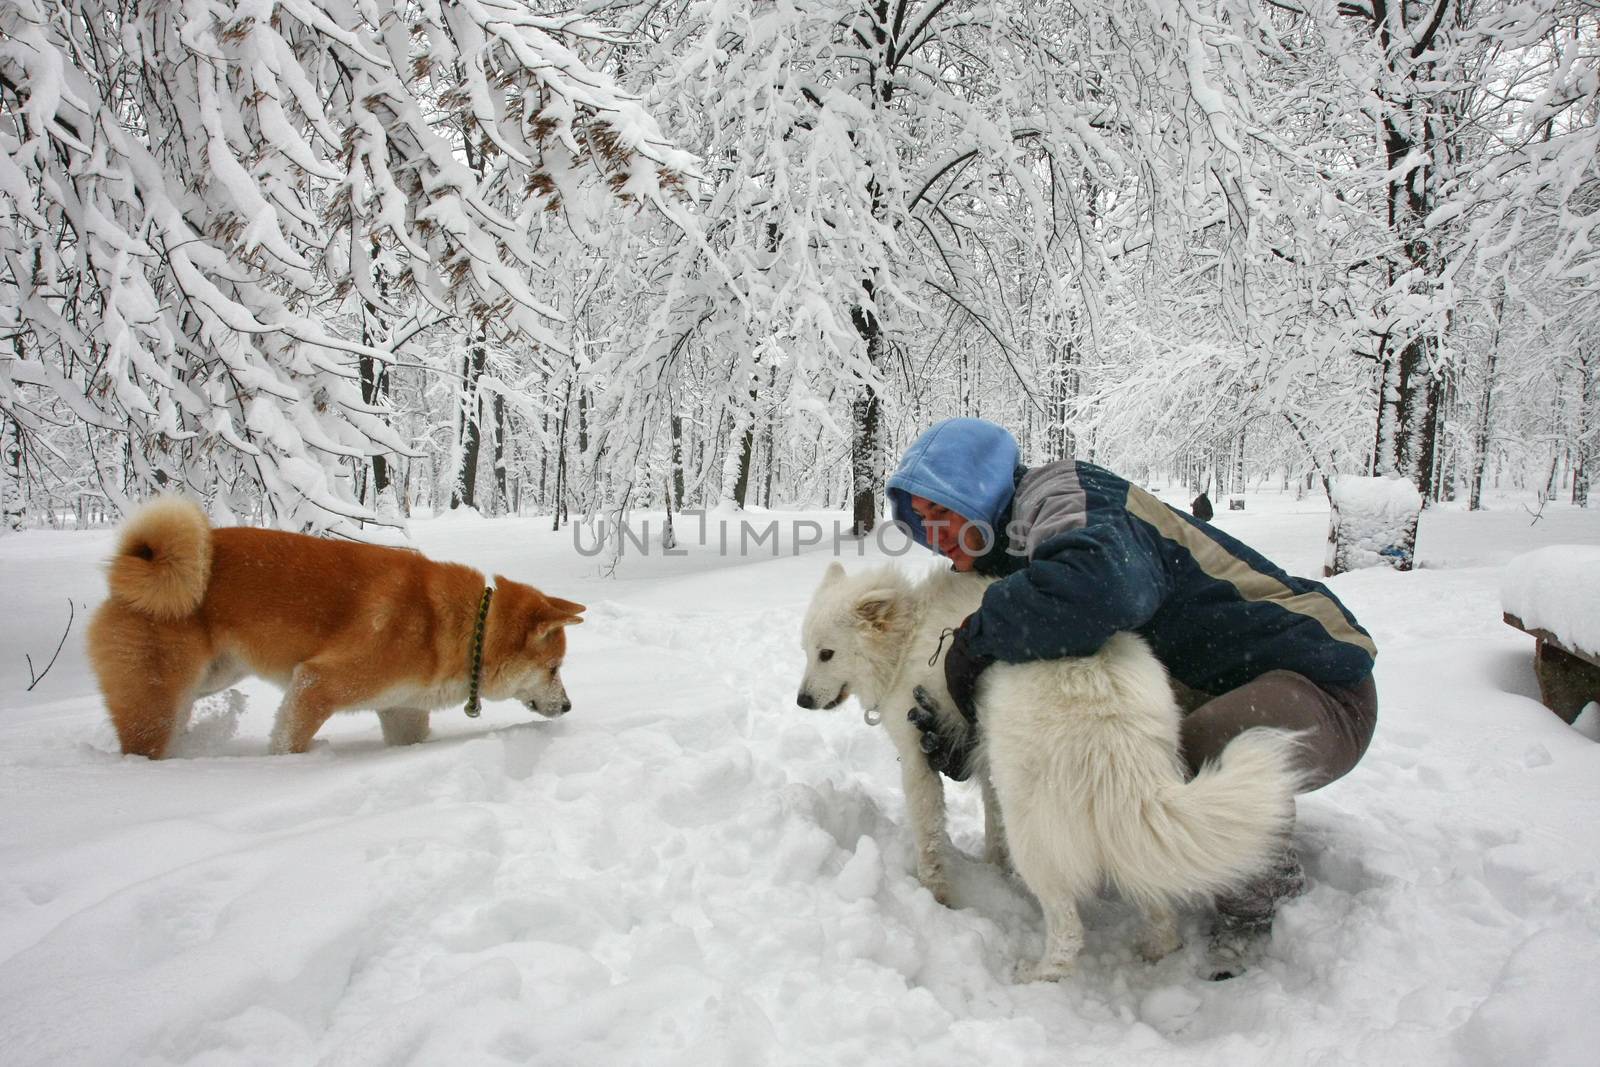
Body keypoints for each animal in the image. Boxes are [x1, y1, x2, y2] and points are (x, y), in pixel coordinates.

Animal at [87, 499, 588, 758]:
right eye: (554, 667)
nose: (567, 706)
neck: (466, 632)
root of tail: (134, 568)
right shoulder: (317, 684)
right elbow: (288, 741)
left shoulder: (402, 710)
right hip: (159, 701)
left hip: (211, 678)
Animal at [793, 563, 1305, 979]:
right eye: (808, 651)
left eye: (826, 654)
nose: (801, 701)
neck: (909, 636)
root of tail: (1110, 718)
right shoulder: (983, 761)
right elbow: (991, 830)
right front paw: (994, 873)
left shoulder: (918, 760)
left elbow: (930, 836)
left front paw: (935, 893)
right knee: (1158, 906)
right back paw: (1154, 953)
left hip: (1035, 833)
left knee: (1068, 932)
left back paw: (1036, 974)